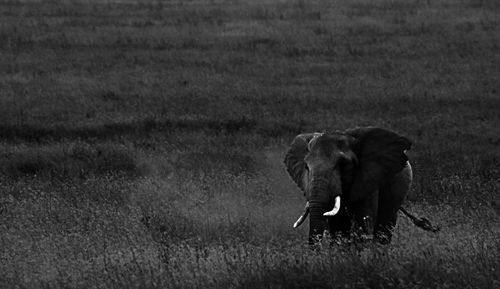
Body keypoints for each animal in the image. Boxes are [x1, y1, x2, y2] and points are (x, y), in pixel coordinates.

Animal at [286, 126, 438, 243]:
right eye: (306, 167)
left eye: (343, 164)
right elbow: (337, 231)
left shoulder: (369, 180)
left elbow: (361, 228)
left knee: (384, 230)